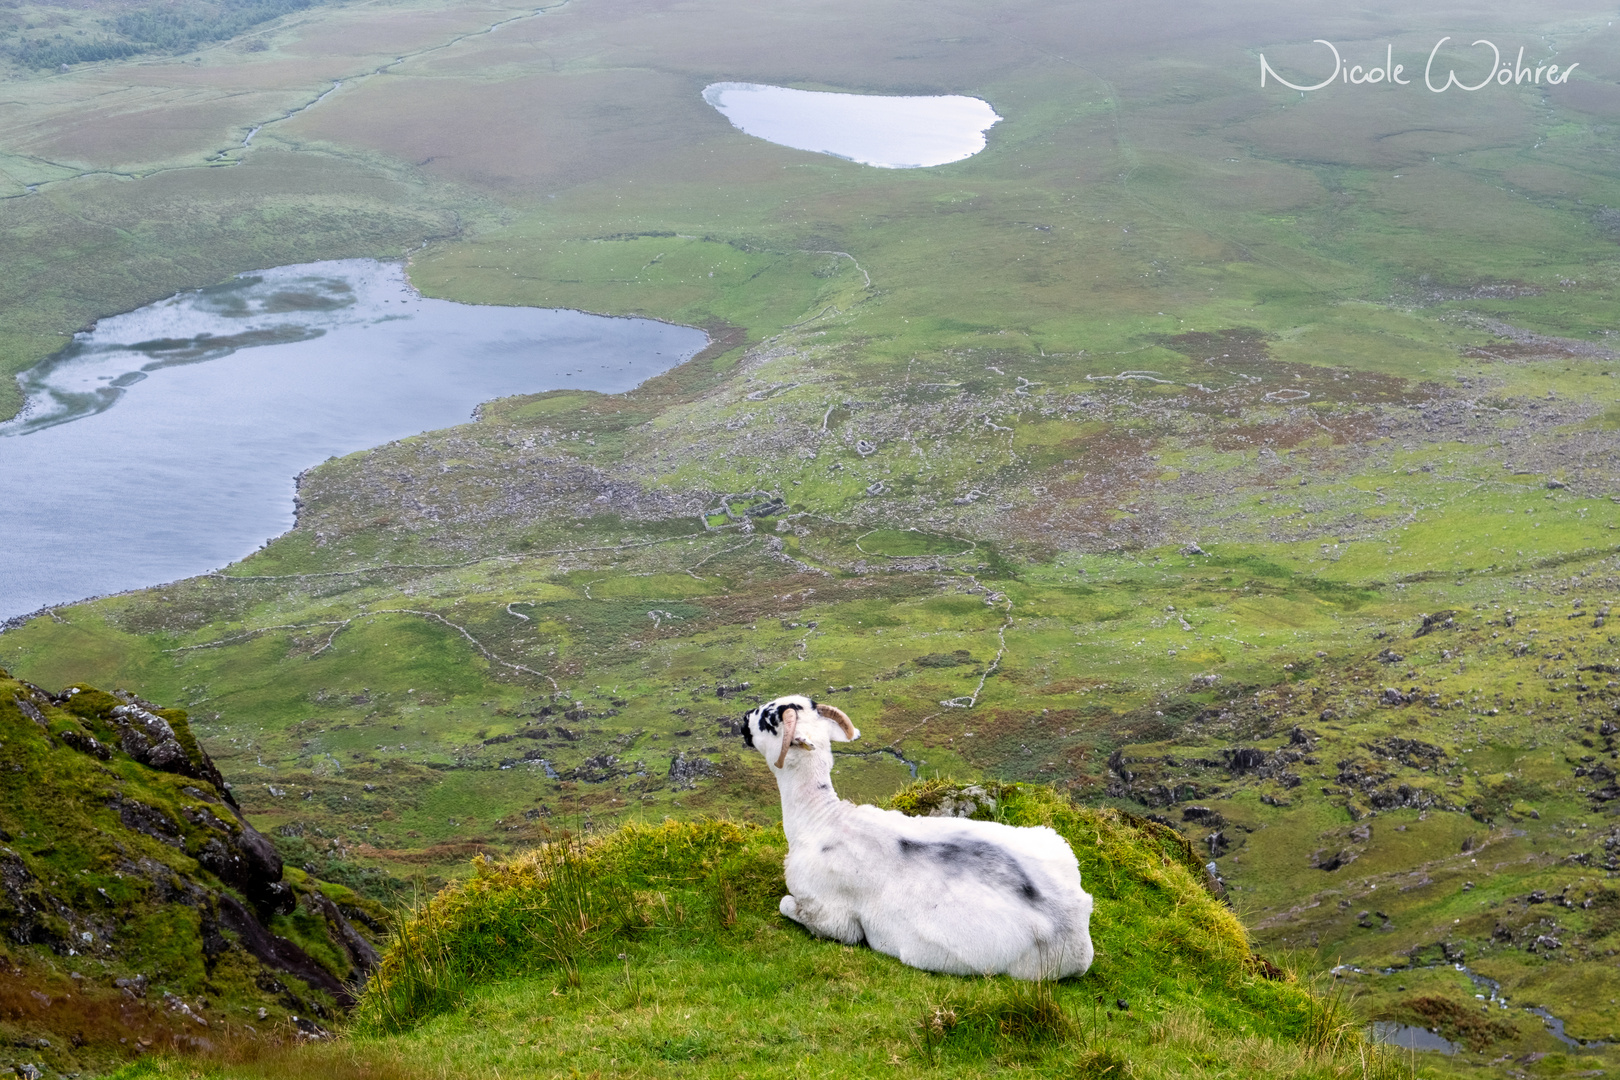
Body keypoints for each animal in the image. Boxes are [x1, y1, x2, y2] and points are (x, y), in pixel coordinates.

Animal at [741, 696, 1095, 984]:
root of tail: (1077, 924)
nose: (742, 719)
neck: (821, 820)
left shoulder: (831, 917)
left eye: (769, 720)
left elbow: (787, 904)